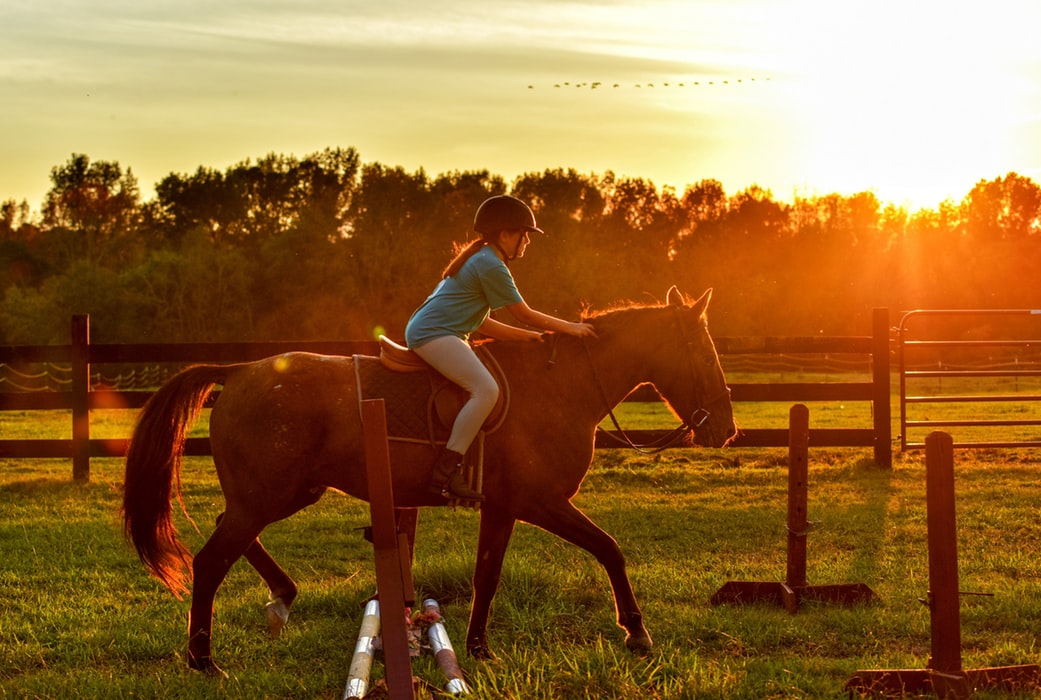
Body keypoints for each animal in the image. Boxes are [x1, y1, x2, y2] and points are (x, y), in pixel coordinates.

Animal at [122, 286, 735, 676]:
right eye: (705, 354)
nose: (726, 430)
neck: (562, 387)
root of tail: (241, 372)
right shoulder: (539, 500)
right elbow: (609, 549)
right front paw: (637, 632)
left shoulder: (504, 506)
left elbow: (488, 574)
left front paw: (478, 649)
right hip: (268, 496)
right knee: (211, 561)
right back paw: (205, 660)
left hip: (281, 493)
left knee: (231, 533)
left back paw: (281, 599)